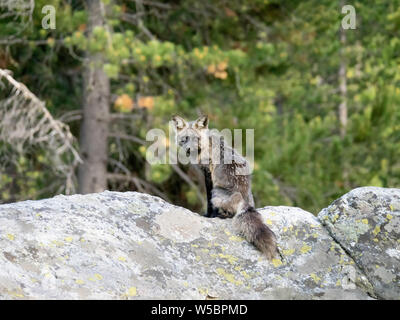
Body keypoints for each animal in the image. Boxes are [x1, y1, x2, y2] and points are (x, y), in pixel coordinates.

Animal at [171, 115, 278, 260]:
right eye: (185, 139)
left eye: (196, 138)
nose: (188, 150)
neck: (206, 146)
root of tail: (244, 197)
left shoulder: (208, 175)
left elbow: (208, 201)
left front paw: (209, 215)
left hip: (217, 192)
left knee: (230, 213)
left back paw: (220, 215)